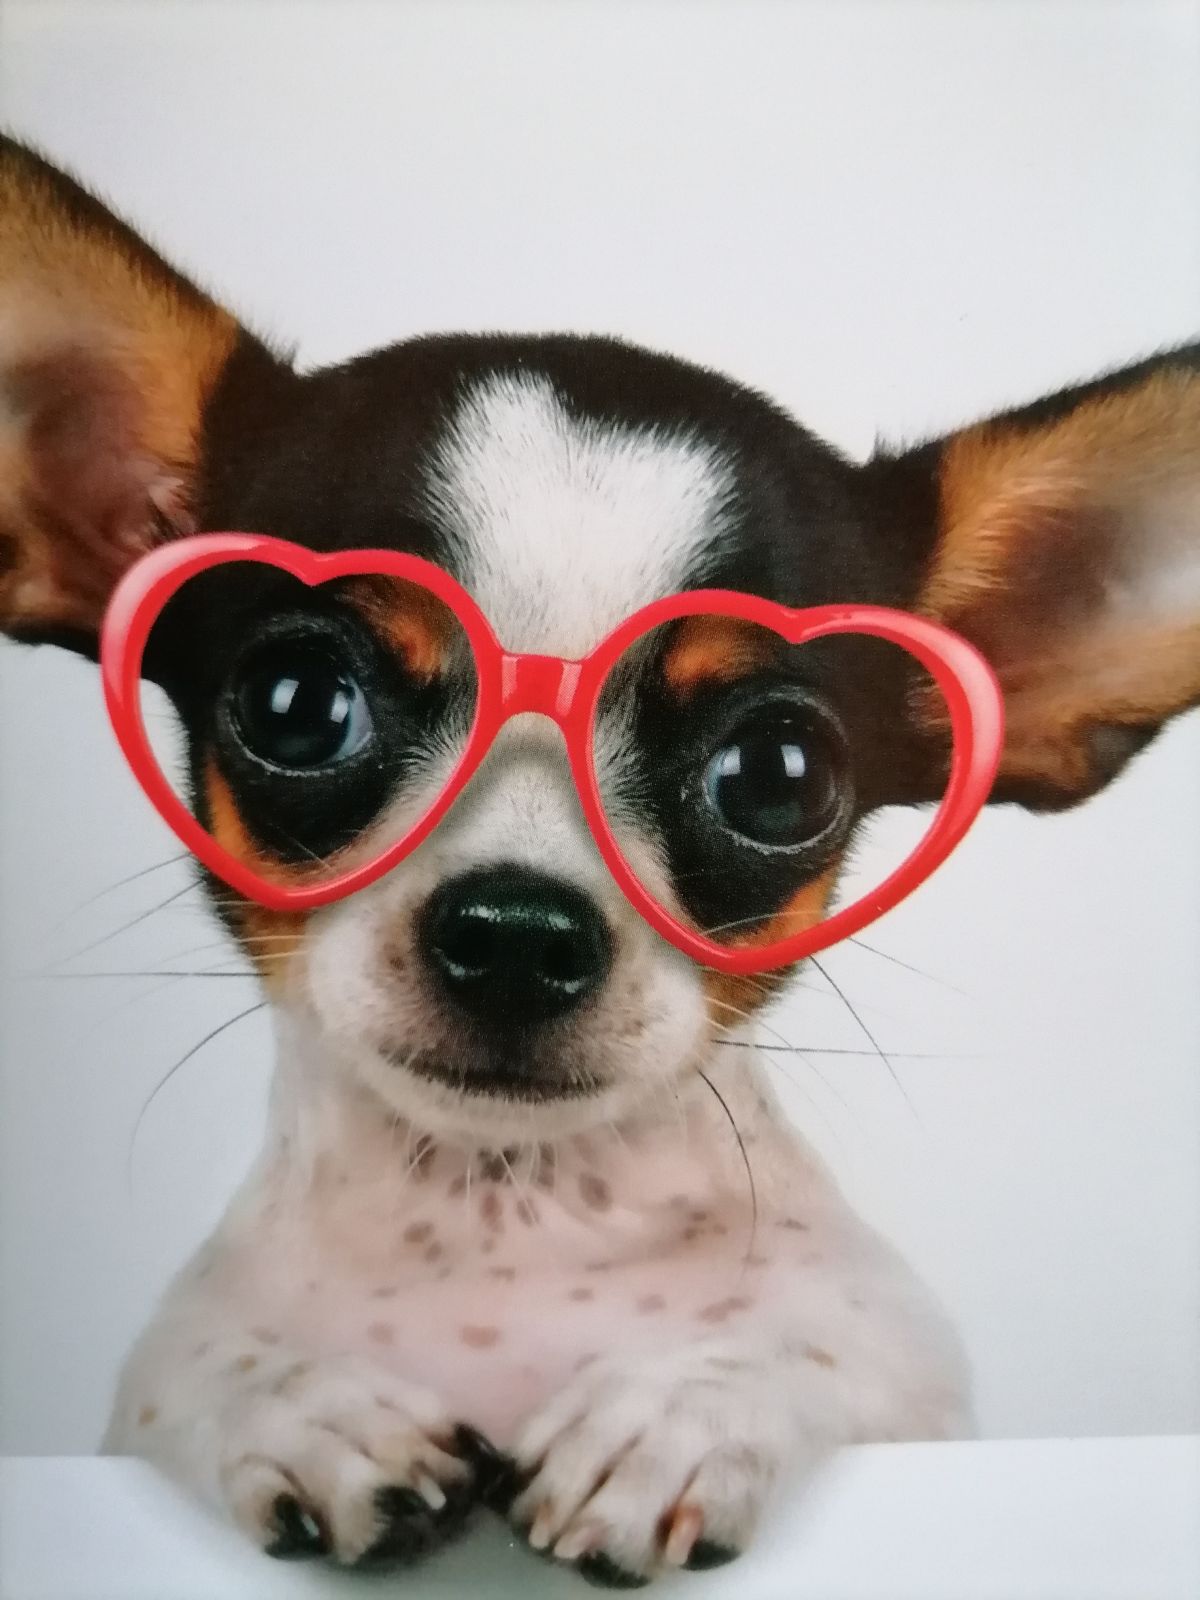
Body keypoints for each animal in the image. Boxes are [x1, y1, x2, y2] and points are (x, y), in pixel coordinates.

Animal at [2, 133, 1197, 1586]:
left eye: (778, 776)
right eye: (296, 704)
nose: (519, 932)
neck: (504, 1220)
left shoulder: (918, 1388)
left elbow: (821, 1340)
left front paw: (682, 1410)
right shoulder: (139, 1397)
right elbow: (194, 1365)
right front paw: (302, 1403)